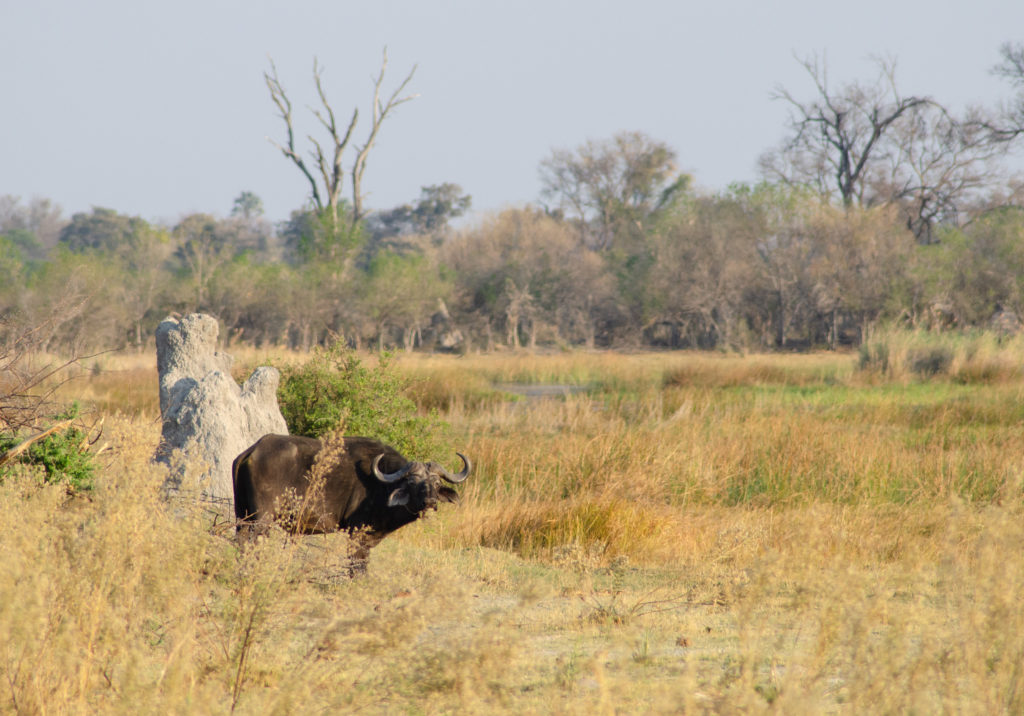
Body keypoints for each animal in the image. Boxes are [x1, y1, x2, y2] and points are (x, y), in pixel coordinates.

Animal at [231, 434, 471, 573]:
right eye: (412, 482)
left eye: (436, 483)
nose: (430, 501)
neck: (380, 486)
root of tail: (253, 450)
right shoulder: (356, 533)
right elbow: (358, 564)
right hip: (262, 519)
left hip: (241, 515)